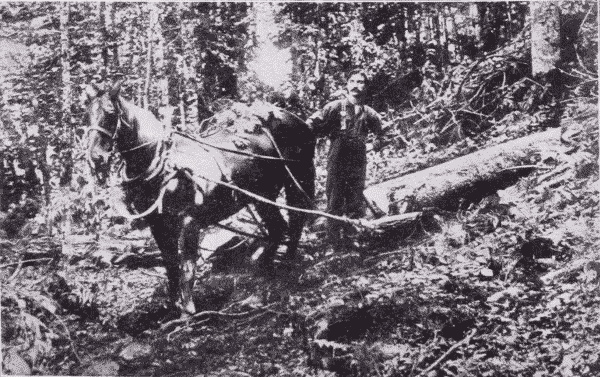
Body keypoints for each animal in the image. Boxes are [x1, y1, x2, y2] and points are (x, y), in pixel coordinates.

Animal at [87, 82, 318, 314]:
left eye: (110, 113)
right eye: (88, 115)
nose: (95, 157)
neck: (164, 164)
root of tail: (299, 121)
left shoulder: (190, 220)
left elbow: (187, 265)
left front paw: (188, 309)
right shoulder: (157, 224)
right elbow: (170, 263)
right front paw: (173, 304)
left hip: (293, 180)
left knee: (293, 221)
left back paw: (279, 264)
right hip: (263, 195)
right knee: (279, 227)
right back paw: (266, 267)